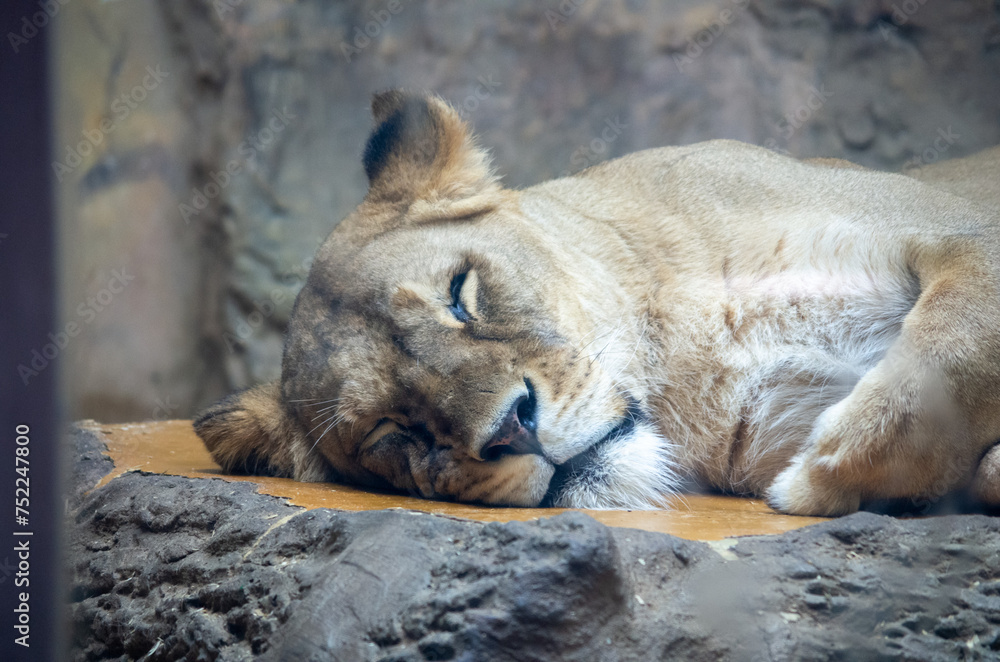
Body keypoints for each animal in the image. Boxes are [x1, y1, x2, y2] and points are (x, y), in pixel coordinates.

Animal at [195, 90, 1000, 516]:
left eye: (461, 295)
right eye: (390, 430)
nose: (513, 430)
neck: (686, 343)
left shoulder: (964, 234)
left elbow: (959, 342)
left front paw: (825, 469)